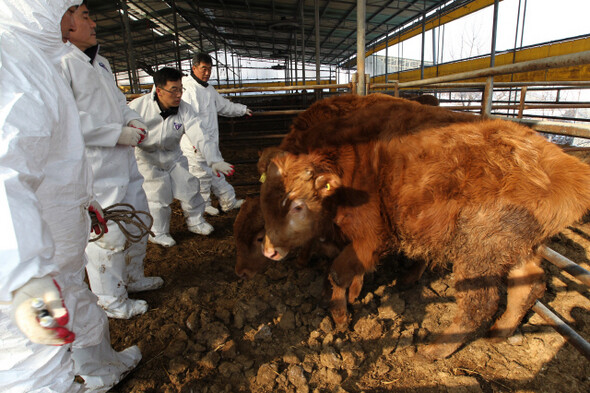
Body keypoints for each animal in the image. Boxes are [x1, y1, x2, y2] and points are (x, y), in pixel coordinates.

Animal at [262, 115, 590, 360]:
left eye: (297, 205)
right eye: (266, 199)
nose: (268, 251)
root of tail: (564, 168)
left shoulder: (369, 235)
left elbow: (338, 273)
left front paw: (341, 316)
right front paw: (352, 295)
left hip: (481, 251)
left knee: (479, 305)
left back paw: (435, 350)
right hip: (518, 248)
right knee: (530, 284)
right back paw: (499, 333)